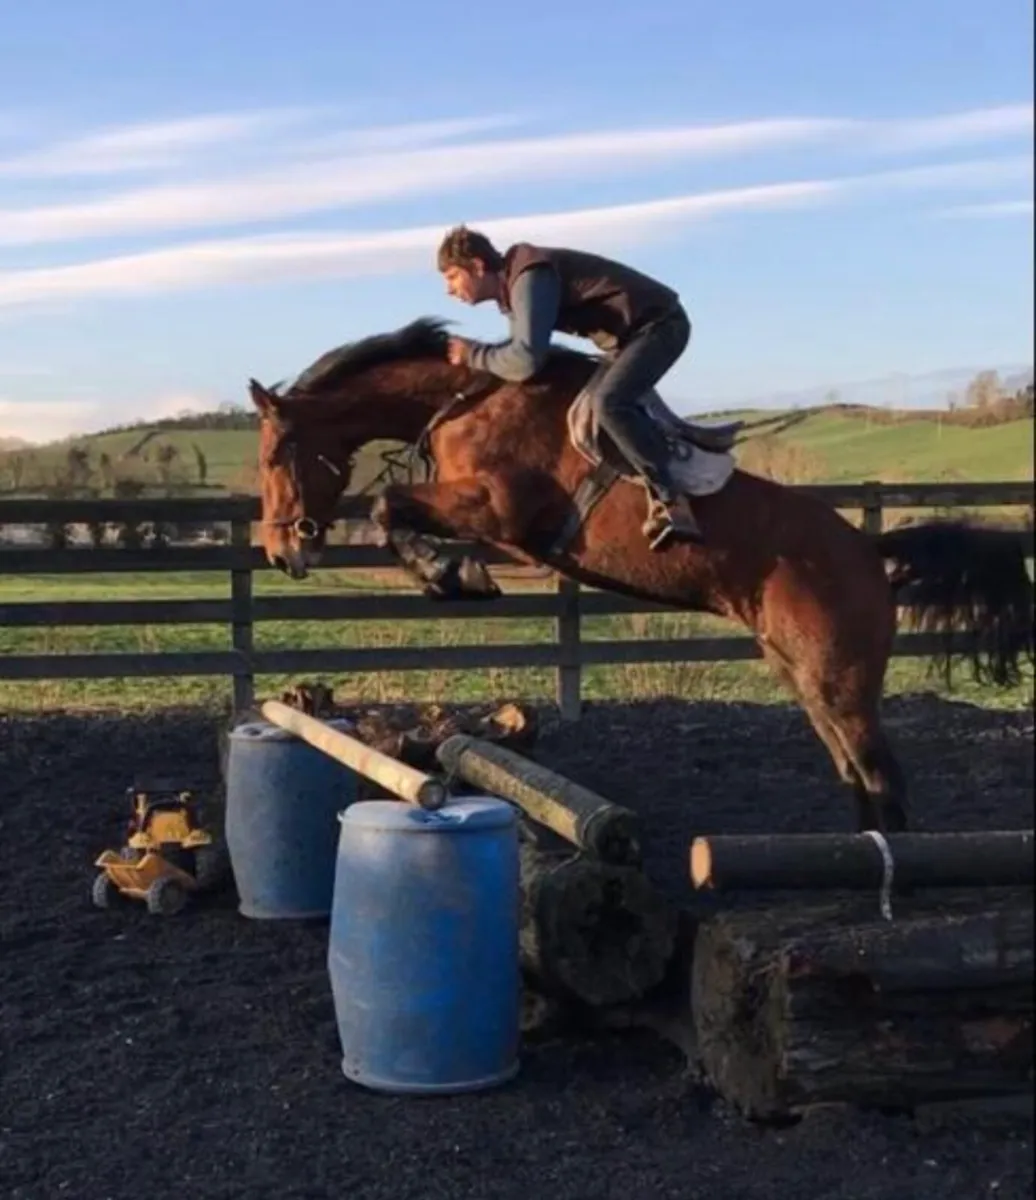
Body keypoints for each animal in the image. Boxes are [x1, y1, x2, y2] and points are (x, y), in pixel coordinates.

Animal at [249, 316, 1033, 836]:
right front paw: (449, 571)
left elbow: (389, 503)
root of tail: (869, 551)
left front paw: (450, 572)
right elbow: (395, 510)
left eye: (276, 454)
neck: (469, 396)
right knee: (857, 775)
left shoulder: (501, 510)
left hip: (837, 678)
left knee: (880, 778)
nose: (283, 553)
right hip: (803, 676)